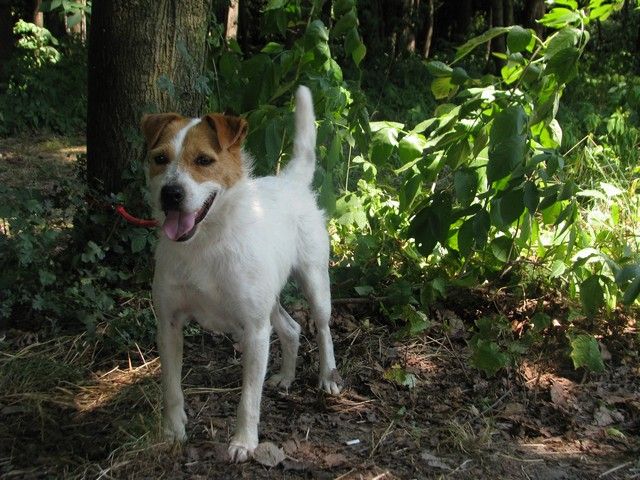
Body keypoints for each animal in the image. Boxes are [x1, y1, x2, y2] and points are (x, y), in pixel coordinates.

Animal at [140, 86, 341, 462]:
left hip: (315, 283)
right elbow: (172, 388)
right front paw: (173, 431)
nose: (170, 194)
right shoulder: (169, 326)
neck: (206, 243)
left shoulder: (255, 330)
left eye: (204, 160)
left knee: (322, 329)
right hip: (269, 298)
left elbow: (249, 398)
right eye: (160, 158)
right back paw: (286, 377)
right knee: (291, 329)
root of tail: (290, 182)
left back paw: (328, 376)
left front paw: (244, 442)